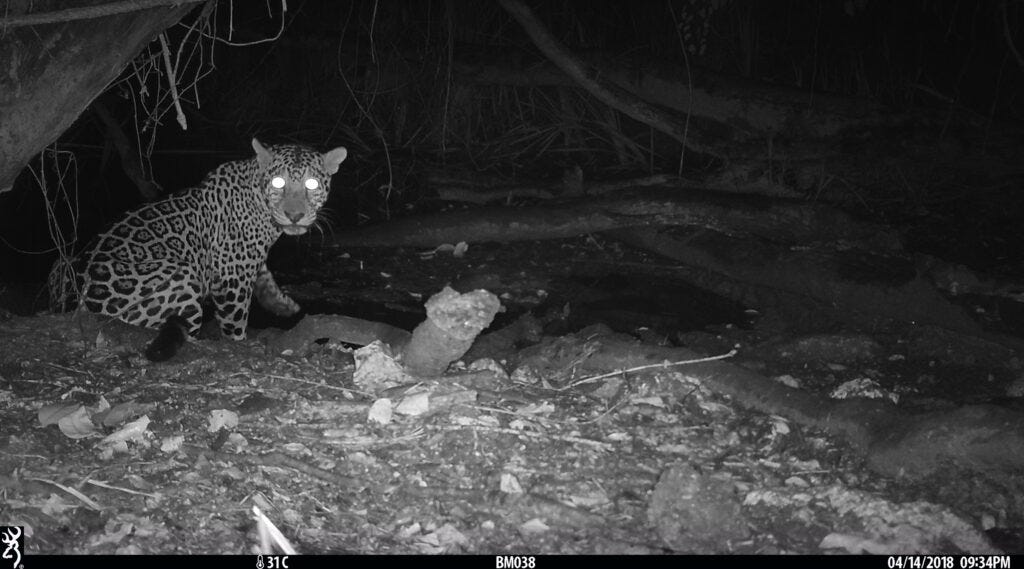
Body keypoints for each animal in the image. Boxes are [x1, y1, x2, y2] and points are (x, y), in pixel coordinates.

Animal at [48, 138, 348, 360]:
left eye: (312, 184)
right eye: (278, 182)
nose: (294, 215)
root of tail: (79, 305)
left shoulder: (246, 261)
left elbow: (266, 277)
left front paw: (284, 305)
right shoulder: (232, 276)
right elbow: (236, 319)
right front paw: (239, 342)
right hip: (180, 277)